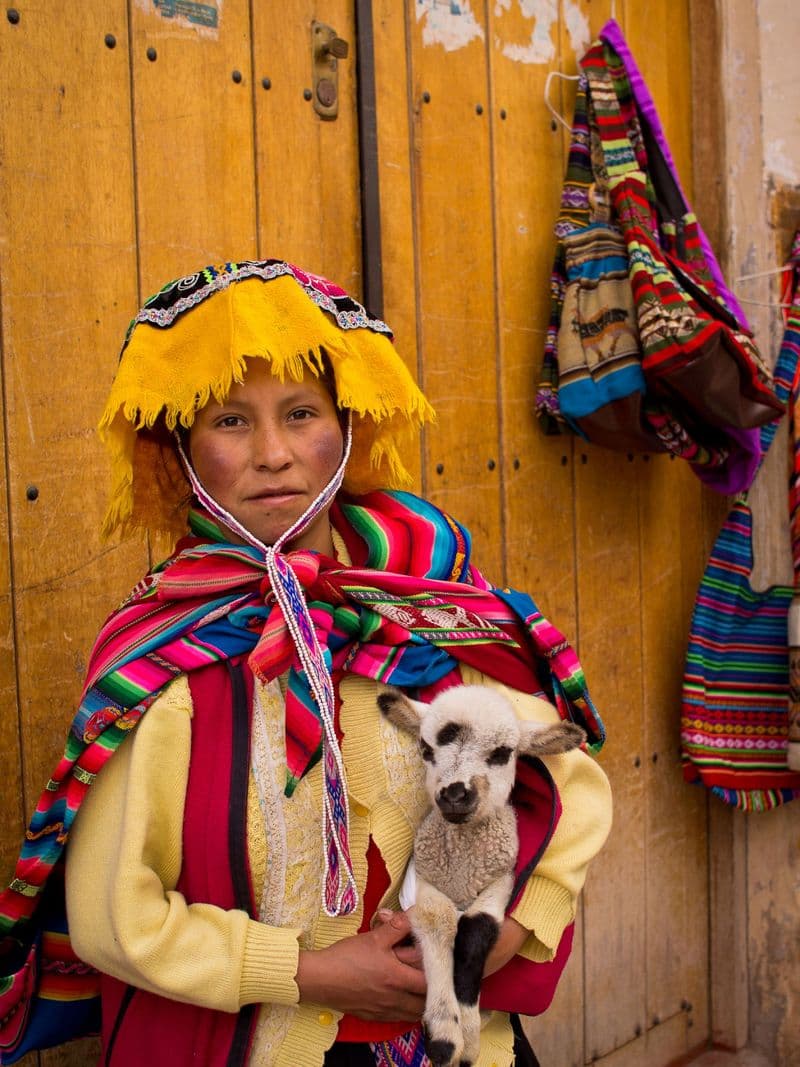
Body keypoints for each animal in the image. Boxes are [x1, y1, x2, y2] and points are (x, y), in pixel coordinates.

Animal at [379, 682, 584, 1067]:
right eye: (426, 750)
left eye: (503, 753)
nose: (455, 794)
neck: (463, 870)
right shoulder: (426, 881)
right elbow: (438, 921)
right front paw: (445, 1034)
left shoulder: (500, 882)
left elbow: (477, 930)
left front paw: (470, 1035)